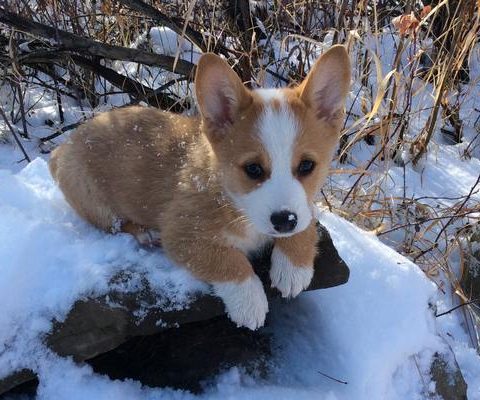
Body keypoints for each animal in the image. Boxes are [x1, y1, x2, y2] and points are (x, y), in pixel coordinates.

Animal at [49, 45, 350, 330]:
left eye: (307, 166)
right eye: (253, 169)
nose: (284, 221)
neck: (237, 204)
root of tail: (64, 146)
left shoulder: (304, 209)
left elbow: (307, 223)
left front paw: (292, 268)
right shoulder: (181, 235)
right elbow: (228, 259)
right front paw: (249, 302)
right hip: (93, 200)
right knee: (116, 223)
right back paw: (145, 233)